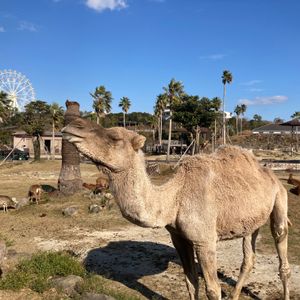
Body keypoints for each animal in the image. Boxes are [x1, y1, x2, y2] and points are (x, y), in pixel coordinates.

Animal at [62, 118, 290, 300]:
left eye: (115, 137)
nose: (73, 125)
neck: (174, 200)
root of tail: (269, 173)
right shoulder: (178, 238)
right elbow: (191, 283)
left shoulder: (205, 240)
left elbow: (212, 290)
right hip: (251, 221)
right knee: (249, 258)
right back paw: (234, 295)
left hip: (280, 198)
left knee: (281, 248)